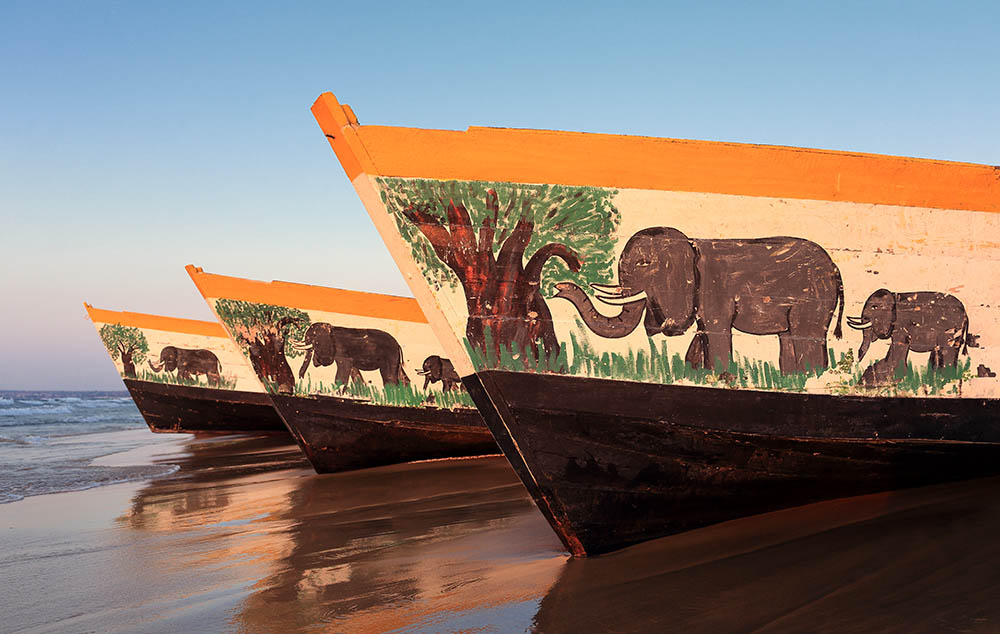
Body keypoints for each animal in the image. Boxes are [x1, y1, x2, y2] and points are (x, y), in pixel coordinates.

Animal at [556, 227, 844, 376]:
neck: (691, 243)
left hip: (814, 297)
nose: (558, 289)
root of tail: (836, 269)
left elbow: (715, 330)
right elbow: (703, 331)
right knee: (788, 338)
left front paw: (719, 377)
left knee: (806, 335)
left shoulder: (713, 288)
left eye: (644, 263)